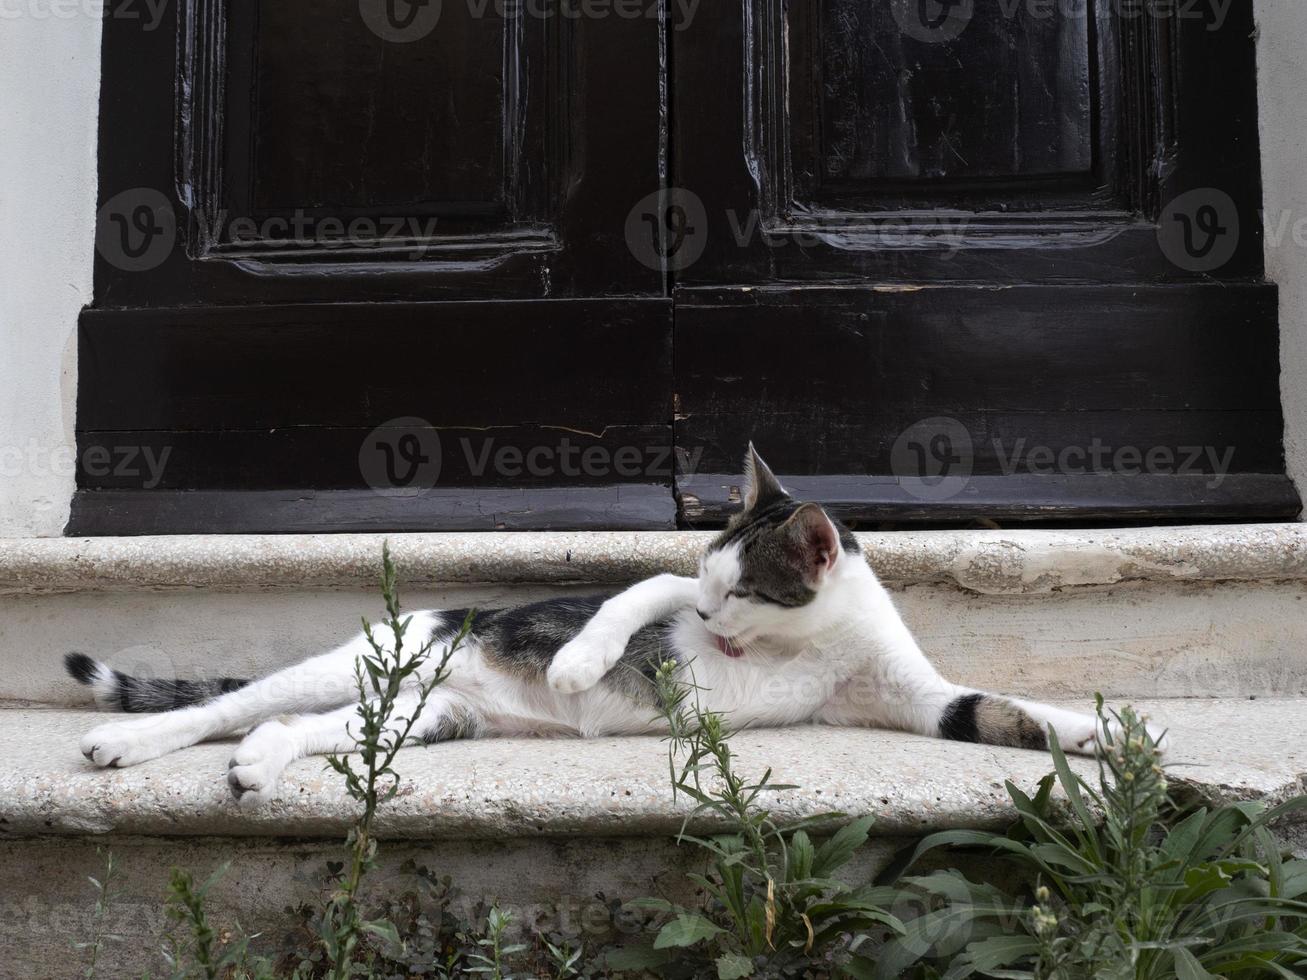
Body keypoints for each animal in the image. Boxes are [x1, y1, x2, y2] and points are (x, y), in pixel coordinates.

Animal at [66, 449, 1144, 810]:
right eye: (710, 593)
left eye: (742, 594)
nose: (709, 619)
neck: (804, 644)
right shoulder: (661, 586)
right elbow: (634, 590)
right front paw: (584, 664)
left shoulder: (911, 696)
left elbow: (997, 711)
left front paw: (1101, 734)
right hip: (373, 659)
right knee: (226, 705)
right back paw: (128, 740)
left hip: (419, 716)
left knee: (284, 727)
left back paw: (258, 764)